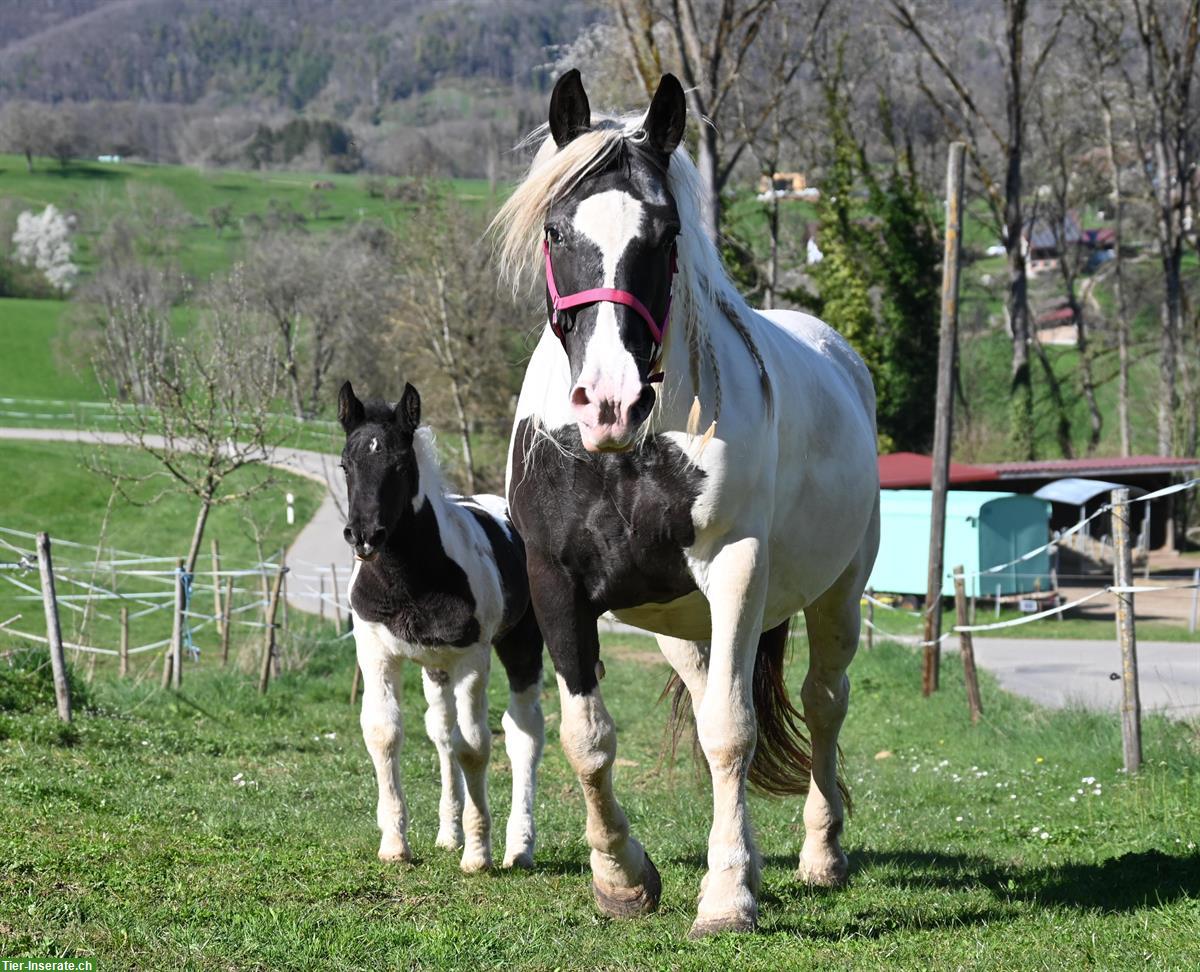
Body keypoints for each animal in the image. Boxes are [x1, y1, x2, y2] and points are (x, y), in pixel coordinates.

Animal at [338, 381, 544, 868]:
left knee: (523, 732)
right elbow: (385, 733)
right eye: (345, 464)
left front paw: (478, 854)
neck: (409, 580)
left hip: (521, 645)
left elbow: (475, 745)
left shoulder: (472, 658)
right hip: (435, 667)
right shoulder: (376, 651)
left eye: (400, 465)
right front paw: (395, 844)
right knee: (441, 731)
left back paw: (518, 847)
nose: (364, 536)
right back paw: (449, 835)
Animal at [494, 72, 883, 936]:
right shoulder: (555, 583)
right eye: (557, 229)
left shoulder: (736, 568)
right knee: (715, 702)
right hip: (682, 626)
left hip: (836, 596)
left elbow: (733, 735)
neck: (623, 457)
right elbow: (588, 738)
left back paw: (819, 855)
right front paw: (622, 878)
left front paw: (729, 895)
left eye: (665, 232)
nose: (610, 402)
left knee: (823, 704)